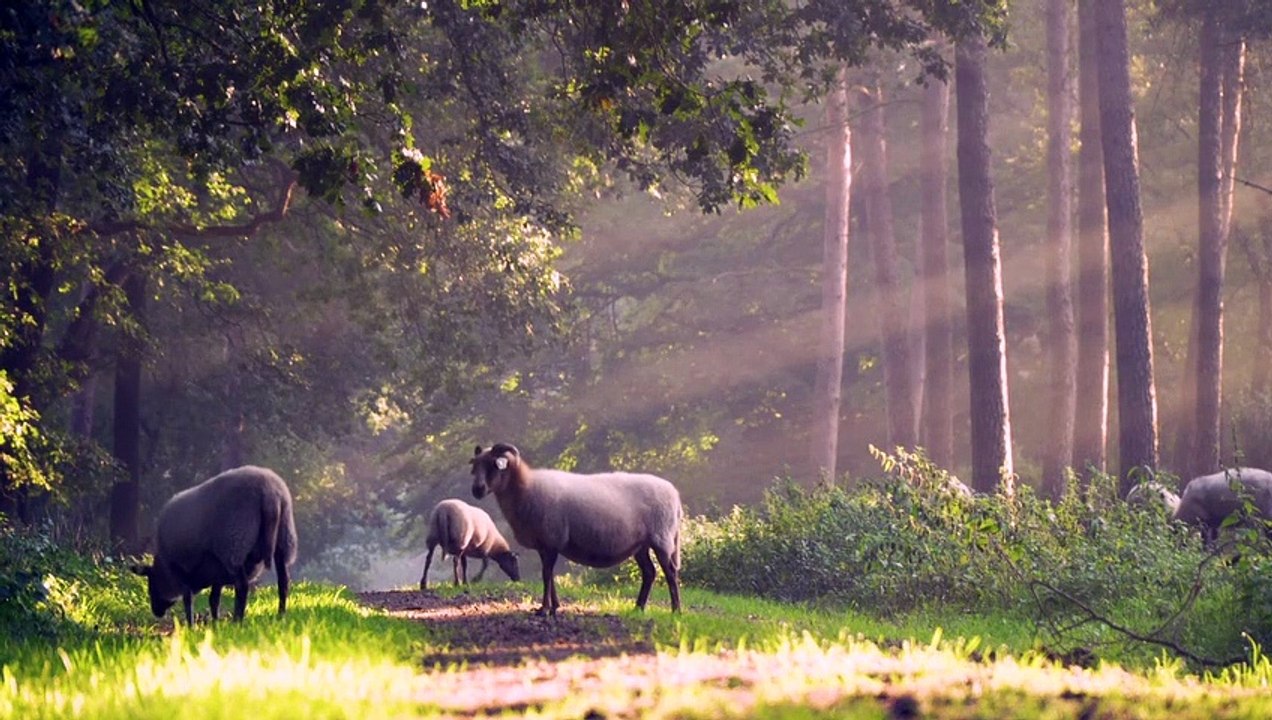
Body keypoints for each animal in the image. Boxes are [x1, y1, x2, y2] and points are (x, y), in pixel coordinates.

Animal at [130, 465, 298, 625]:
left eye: (152, 583)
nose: (156, 611)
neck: (164, 568)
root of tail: (270, 493)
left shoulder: (182, 569)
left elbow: (188, 599)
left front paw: (191, 626)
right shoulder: (218, 571)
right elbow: (213, 599)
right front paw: (215, 624)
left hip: (234, 545)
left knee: (242, 586)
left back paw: (237, 621)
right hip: (284, 537)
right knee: (283, 582)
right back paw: (281, 615)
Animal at [469, 443, 682, 616]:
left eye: (493, 465)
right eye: (475, 466)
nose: (477, 490)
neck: (524, 487)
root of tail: (674, 494)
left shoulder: (551, 539)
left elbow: (546, 575)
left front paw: (545, 610)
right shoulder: (544, 544)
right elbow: (549, 575)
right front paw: (553, 607)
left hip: (662, 538)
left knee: (670, 572)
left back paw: (676, 610)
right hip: (641, 545)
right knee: (650, 572)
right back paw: (638, 608)